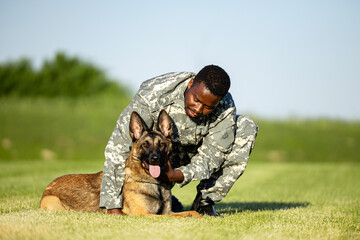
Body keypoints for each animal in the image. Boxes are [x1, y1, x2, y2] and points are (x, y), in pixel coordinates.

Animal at [40, 109, 202, 218]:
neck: (155, 183)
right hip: (56, 204)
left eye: (161, 144)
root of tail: (48, 187)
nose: (155, 158)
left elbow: (190, 212)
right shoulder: (146, 214)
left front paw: (201, 215)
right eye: (145, 145)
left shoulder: (168, 210)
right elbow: (175, 217)